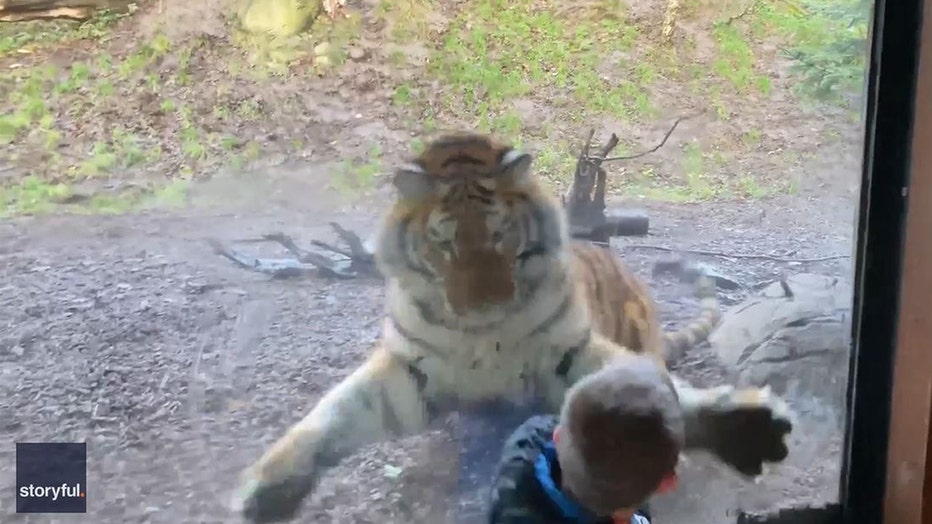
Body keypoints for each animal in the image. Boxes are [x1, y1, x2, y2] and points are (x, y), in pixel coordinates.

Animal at [231, 133, 794, 523]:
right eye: (445, 243)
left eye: (500, 236)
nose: (483, 304)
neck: (479, 336)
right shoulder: (407, 371)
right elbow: (330, 416)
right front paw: (267, 488)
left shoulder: (569, 357)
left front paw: (743, 426)